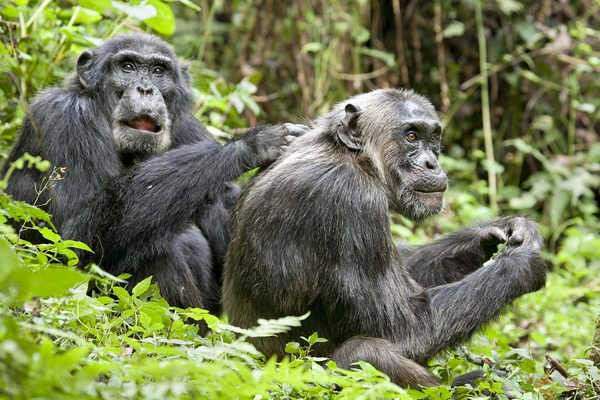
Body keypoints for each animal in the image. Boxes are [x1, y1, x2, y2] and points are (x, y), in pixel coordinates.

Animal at [3, 33, 304, 312]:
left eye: (159, 71)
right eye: (127, 67)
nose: (146, 89)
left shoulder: (187, 127)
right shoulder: (66, 118)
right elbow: (72, 236)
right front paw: (251, 144)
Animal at [223, 89, 548, 386]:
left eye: (433, 137)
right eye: (412, 136)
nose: (432, 163)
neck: (354, 158)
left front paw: (492, 233)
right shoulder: (351, 201)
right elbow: (403, 329)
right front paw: (523, 263)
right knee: (364, 352)